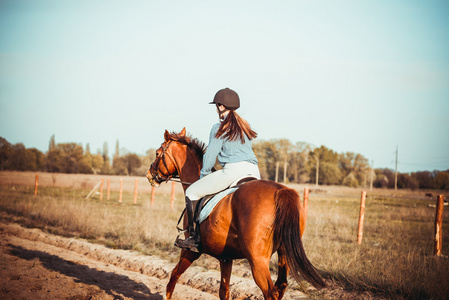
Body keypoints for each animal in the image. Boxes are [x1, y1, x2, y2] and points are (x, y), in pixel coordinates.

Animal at [147, 127, 326, 298]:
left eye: (157, 153)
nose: (149, 174)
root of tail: (281, 191)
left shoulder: (190, 251)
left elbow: (174, 275)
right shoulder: (226, 257)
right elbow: (223, 291)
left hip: (258, 260)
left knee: (270, 292)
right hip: (284, 254)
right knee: (280, 286)